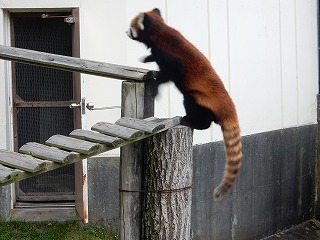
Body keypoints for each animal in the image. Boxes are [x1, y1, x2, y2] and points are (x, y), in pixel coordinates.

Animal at [126, 7, 241, 199]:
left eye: (131, 26)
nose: (125, 32)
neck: (159, 33)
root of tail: (227, 107)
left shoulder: (169, 56)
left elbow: (170, 72)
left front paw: (156, 88)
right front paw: (146, 58)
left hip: (199, 99)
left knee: (197, 111)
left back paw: (188, 120)